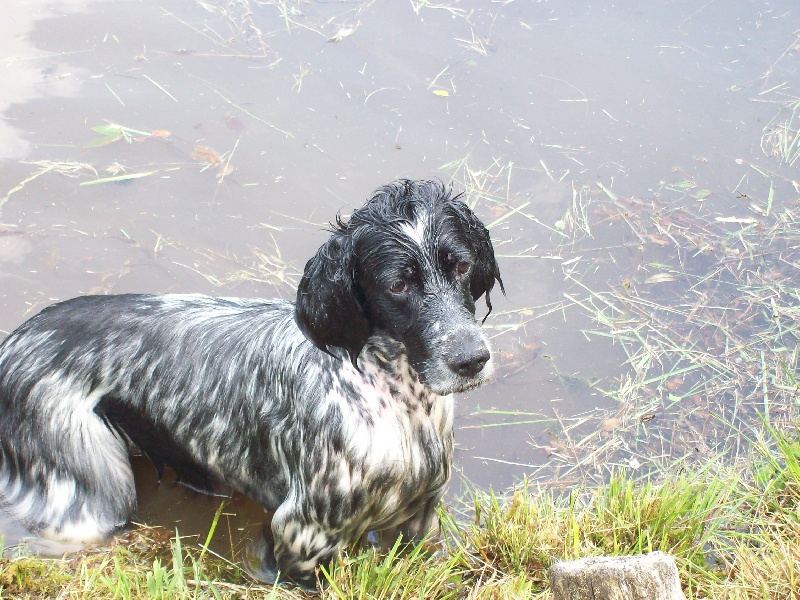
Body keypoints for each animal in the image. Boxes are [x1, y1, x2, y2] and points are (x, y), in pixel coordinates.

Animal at [0, 178, 500, 584]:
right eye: (398, 285)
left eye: (460, 266)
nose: (472, 359)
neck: (400, 404)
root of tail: (15, 340)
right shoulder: (303, 535)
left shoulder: (419, 519)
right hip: (91, 495)